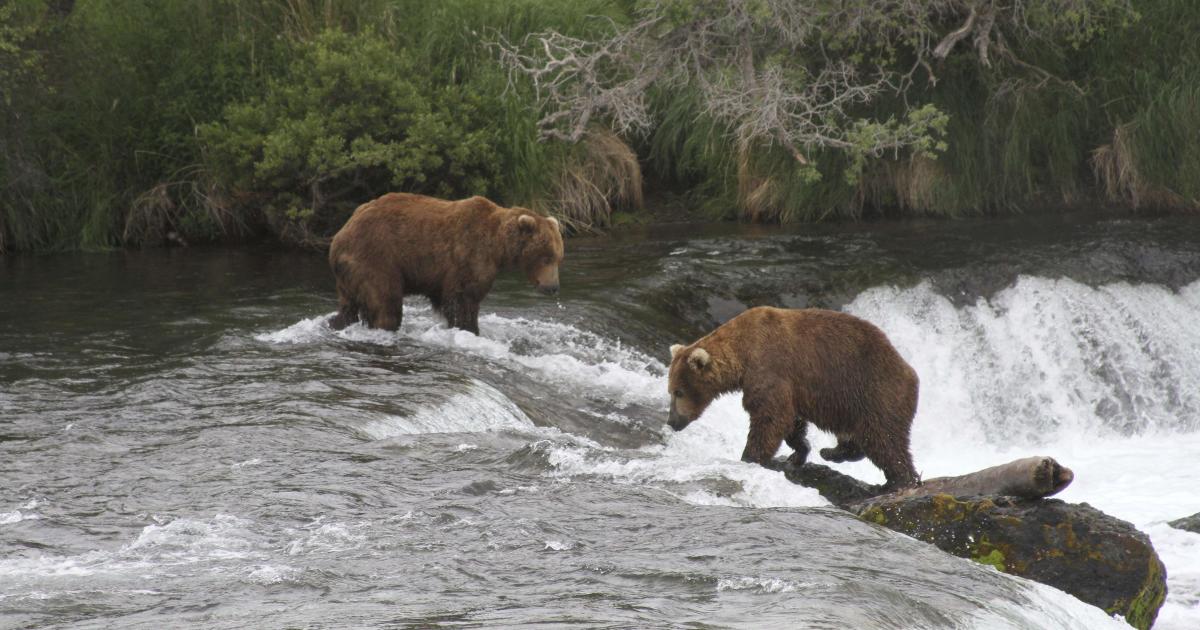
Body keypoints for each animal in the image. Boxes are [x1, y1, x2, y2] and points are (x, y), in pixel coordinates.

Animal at [326, 192, 564, 333]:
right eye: (546, 256)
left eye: (559, 257)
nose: (553, 287)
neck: (498, 246)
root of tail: (338, 237)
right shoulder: (468, 255)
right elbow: (463, 299)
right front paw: (468, 328)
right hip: (376, 258)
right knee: (385, 302)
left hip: (349, 275)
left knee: (348, 306)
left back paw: (335, 323)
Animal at [667, 304, 916, 487]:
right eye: (670, 391)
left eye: (679, 392)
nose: (671, 421)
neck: (742, 354)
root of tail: (911, 372)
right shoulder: (789, 386)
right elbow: (791, 421)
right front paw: (799, 451)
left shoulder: (769, 367)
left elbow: (770, 416)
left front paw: (750, 457)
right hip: (850, 405)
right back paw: (831, 451)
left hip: (874, 392)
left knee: (884, 440)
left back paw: (899, 481)